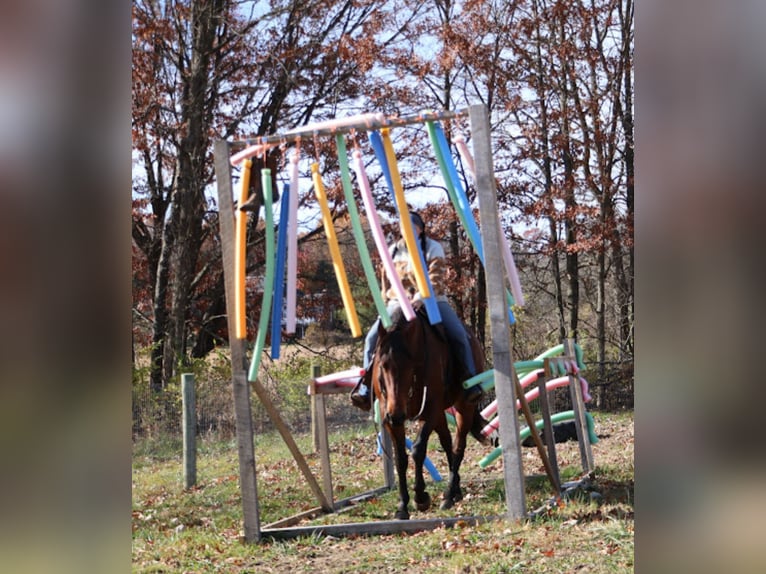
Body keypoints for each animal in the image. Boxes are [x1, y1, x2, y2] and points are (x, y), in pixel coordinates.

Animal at [371, 302, 493, 520]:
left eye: (408, 365)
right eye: (382, 366)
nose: (397, 415)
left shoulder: (430, 411)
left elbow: (418, 450)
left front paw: (420, 497)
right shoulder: (390, 417)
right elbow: (400, 458)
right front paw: (402, 506)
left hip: (463, 407)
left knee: (458, 447)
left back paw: (449, 495)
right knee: (447, 443)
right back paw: (456, 491)